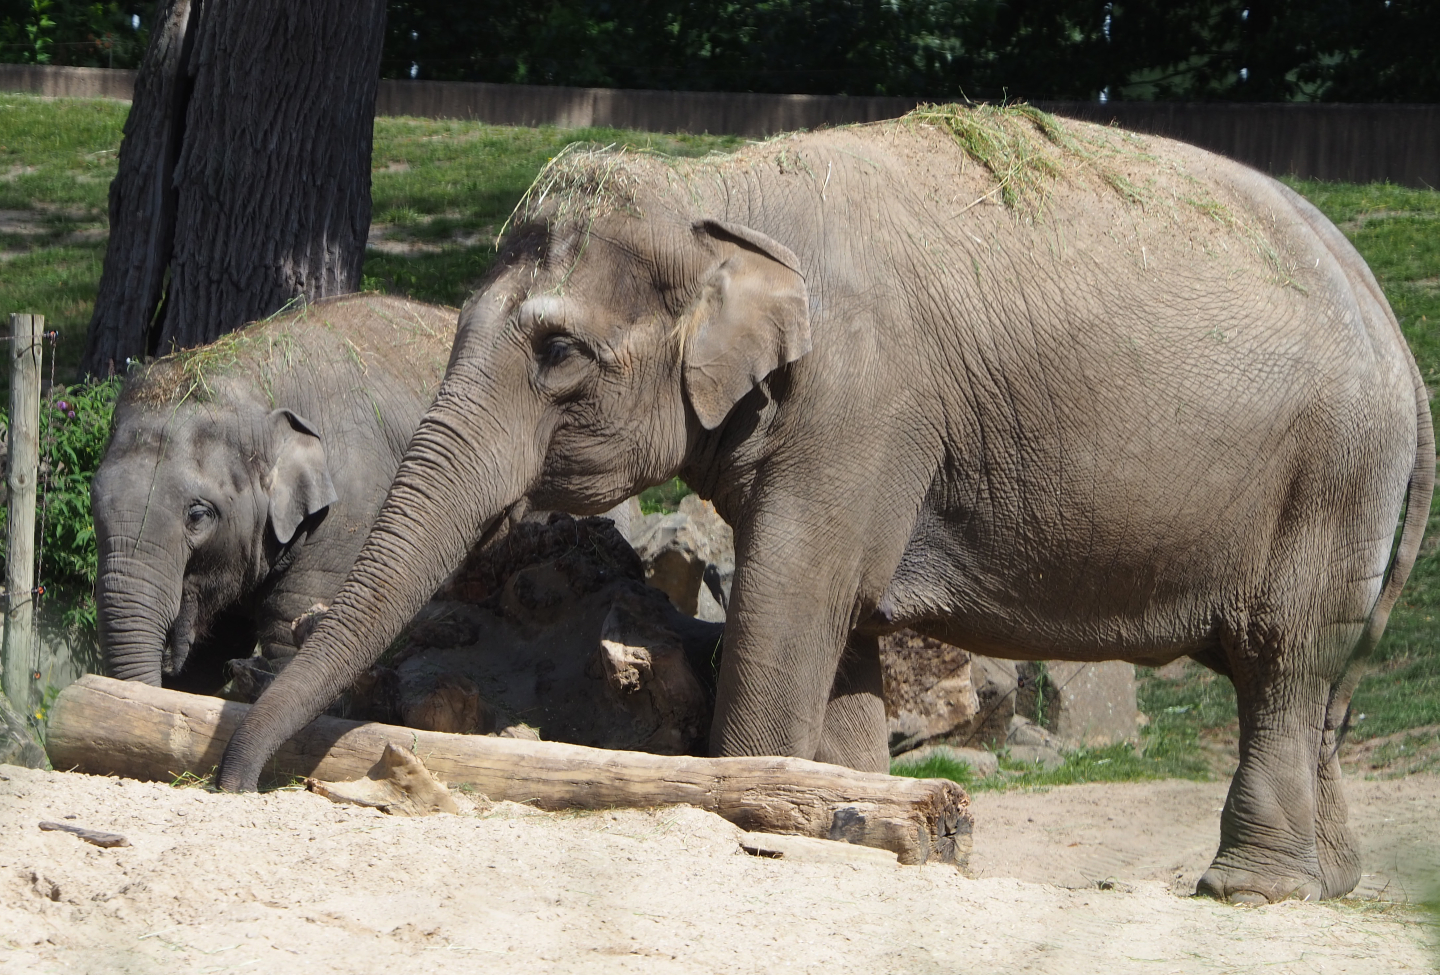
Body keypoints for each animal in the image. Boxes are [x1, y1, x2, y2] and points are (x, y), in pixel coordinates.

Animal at [217, 105, 1432, 904]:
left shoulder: (864, 398)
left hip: (1330, 477)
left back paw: (1249, 890)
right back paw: (1332, 883)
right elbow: (843, 626)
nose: (226, 781)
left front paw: (745, 811)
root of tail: (1397, 334)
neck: (720, 191)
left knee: (1282, 661)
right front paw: (863, 827)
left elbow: (788, 602)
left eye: (559, 352)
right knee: (1322, 684)